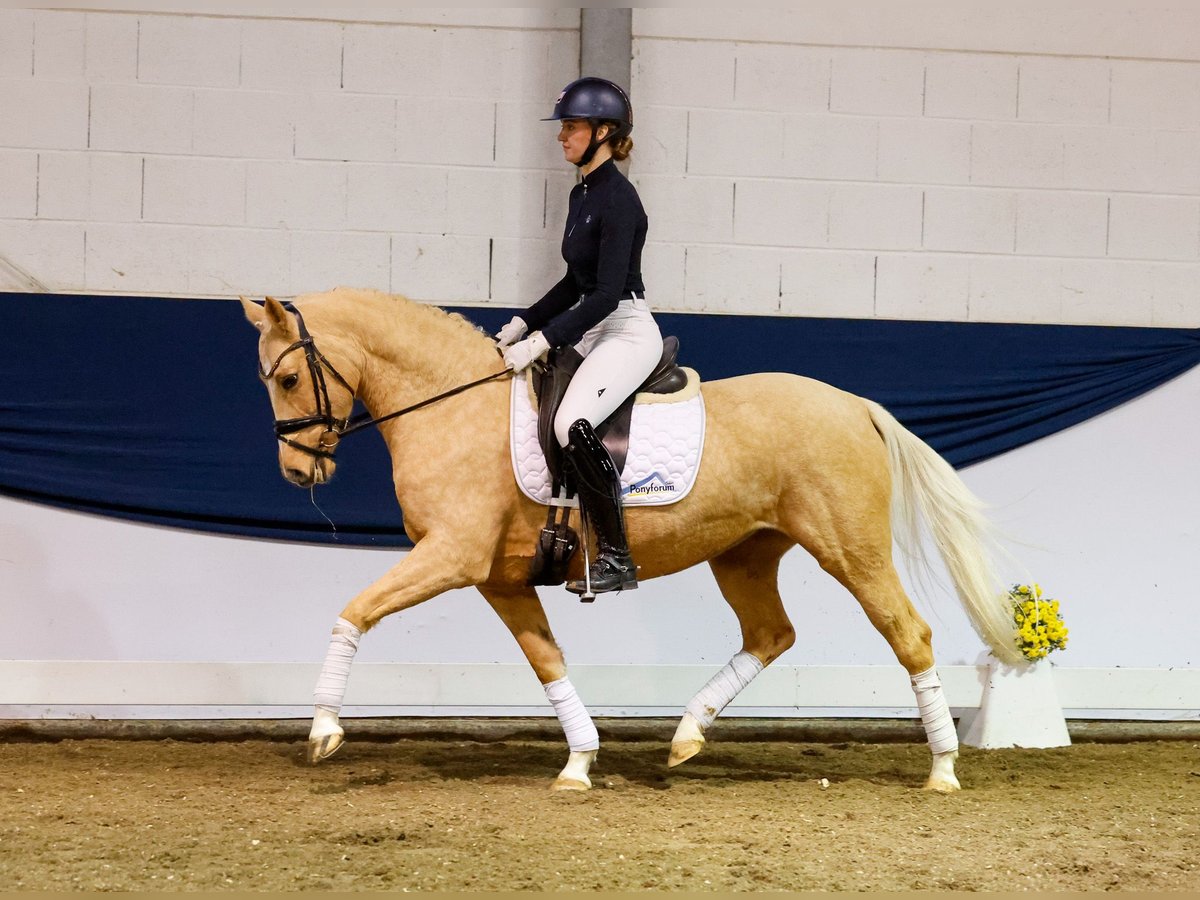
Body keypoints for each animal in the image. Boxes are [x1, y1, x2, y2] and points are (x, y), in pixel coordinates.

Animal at [243, 289, 1022, 796]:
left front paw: (322, 728)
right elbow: (547, 660)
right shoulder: (499, 577)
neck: (453, 401)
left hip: (849, 550)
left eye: (289, 376)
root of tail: (856, 405)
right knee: (772, 634)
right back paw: (686, 736)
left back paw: (943, 768)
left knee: (908, 633)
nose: (296, 472)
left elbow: (354, 610)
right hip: (744, 553)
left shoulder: (451, 556)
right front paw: (579, 763)